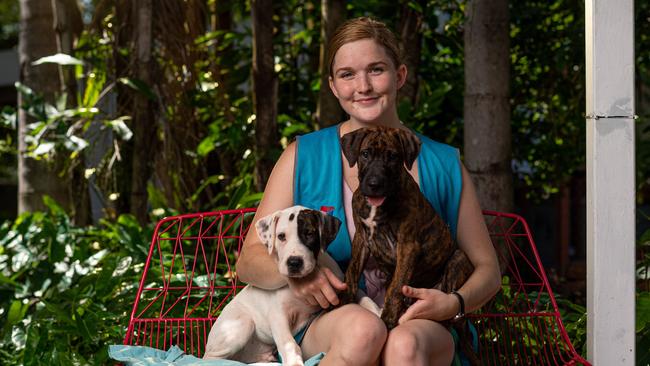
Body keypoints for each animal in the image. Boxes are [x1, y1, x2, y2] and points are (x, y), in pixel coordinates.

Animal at [200, 206, 378, 366]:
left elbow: (366, 299)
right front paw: (294, 363)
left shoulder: (344, 285)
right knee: (210, 358)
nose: (294, 262)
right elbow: (289, 344)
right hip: (241, 325)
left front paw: (378, 312)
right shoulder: (278, 315)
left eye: (309, 233)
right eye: (281, 236)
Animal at [340, 125, 476, 364]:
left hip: (457, 259)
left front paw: (387, 319)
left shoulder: (407, 246)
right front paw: (347, 300)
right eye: (365, 154)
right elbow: (352, 272)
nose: (374, 184)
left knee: (448, 310)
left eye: (393, 157)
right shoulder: (361, 239)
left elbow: (396, 286)